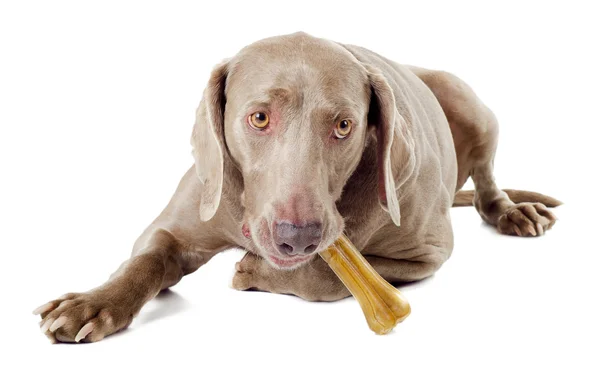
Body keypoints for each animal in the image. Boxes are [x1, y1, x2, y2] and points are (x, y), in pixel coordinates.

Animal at [31, 32, 556, 344]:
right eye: (259, 117)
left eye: (344, 125)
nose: (296, 237)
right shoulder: (181, 220)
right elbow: (146, 260)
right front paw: (93, 304)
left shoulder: (427, 252)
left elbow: (326, 275)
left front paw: (253, 270)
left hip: (466, 101)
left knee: (487, 185)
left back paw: (515, 212)